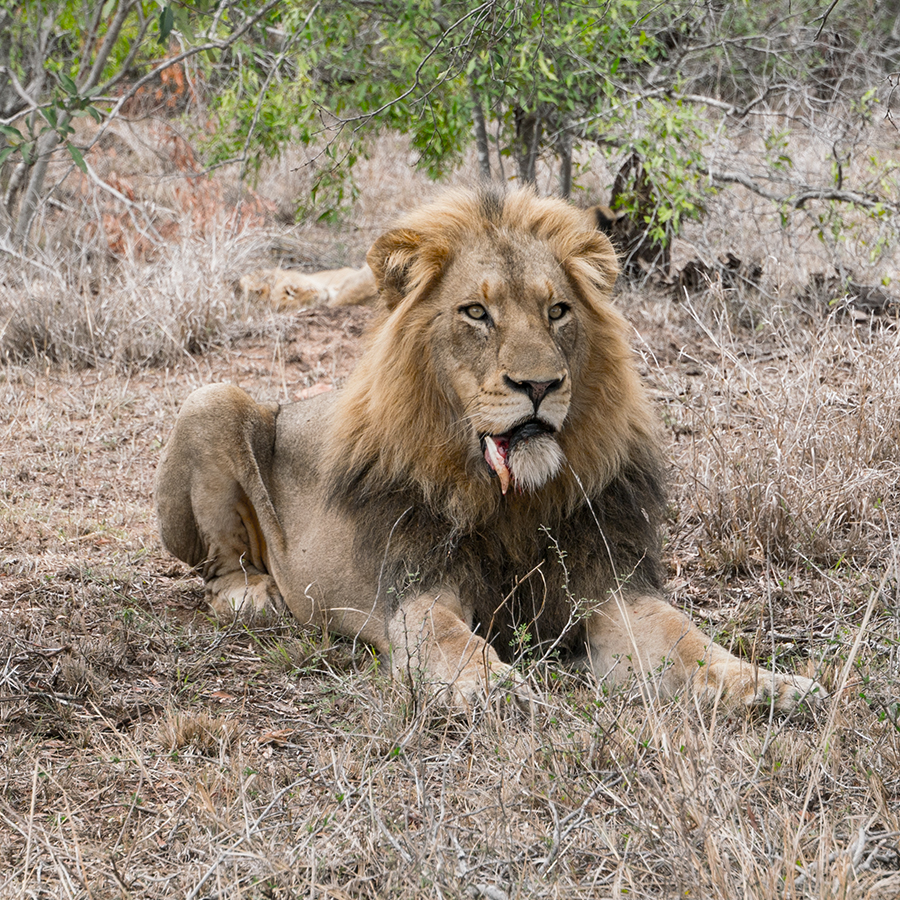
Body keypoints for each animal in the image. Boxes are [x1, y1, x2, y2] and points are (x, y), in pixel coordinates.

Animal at [156, 186, 824, 712]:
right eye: (476, 312)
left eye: (558, 310)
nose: (539, 385)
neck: (511, 500)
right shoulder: (416, 590)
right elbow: (449, 639)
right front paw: (490, 686)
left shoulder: (609, 586)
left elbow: (688, 641)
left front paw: (767, 685)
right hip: (210, 399)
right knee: (217, 569)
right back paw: (254, 596)